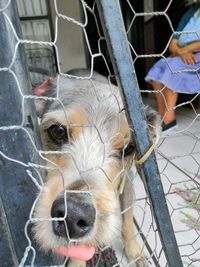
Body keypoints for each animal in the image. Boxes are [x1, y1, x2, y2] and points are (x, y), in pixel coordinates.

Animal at [32, 69, 160, 267]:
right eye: (58, 131)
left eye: (128, 148)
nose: (72, 216)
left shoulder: (127, 183)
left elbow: (128, 221)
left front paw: (135, 253)